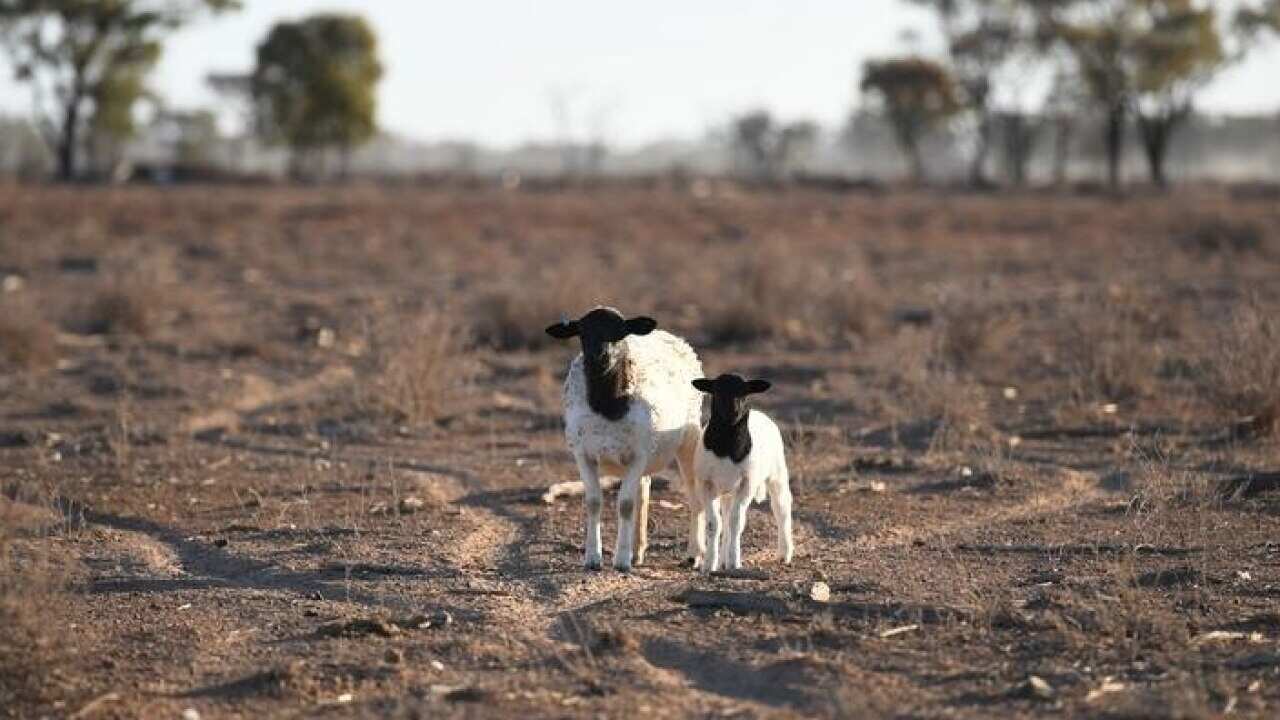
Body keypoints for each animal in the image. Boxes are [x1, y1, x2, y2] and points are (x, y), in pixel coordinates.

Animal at [545, 306, 705, 572]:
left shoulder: (638, 454)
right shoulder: (583, 454)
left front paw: (620, 560)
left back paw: (695, 554)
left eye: (619, 332)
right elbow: (593, 501)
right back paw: (637, 551)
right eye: (582, 332)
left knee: (694, 494)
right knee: (645, 489)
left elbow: (626, 504)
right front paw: (593, 557)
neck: (607, 406)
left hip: (688, 439)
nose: (600, 356)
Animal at [691, 373, 794, 575]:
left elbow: (736, 523)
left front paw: (734, 563)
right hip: (727, 491)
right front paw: (709, 564)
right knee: (726, 520)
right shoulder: (706, 484)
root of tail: (761, 414)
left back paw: (785, 554)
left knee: (782, 510)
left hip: (777, 474)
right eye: (716, 391)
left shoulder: (747, 484)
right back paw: (722, 559)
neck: (727, 447)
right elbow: (714, 524)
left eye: (744, 393)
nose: (733, 412)